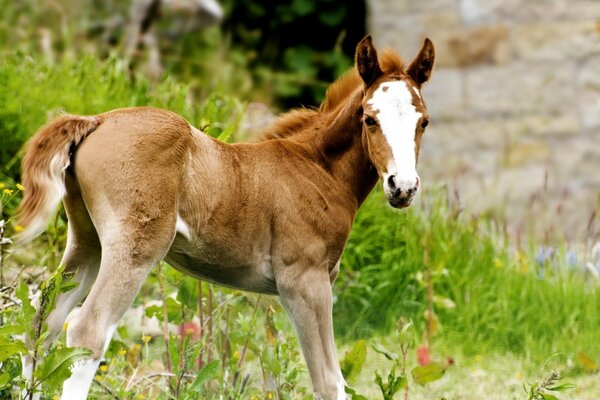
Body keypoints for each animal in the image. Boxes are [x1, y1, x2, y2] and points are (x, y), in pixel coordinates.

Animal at [17, 35, 432, 400]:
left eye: (423, 122)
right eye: (369, 119)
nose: (402, 186)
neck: (318, 169)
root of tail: (97, 120)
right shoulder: (304, 281)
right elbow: (330, 383)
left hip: (87, 240)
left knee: (42, 322)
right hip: (135, 248)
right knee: (87, 330)